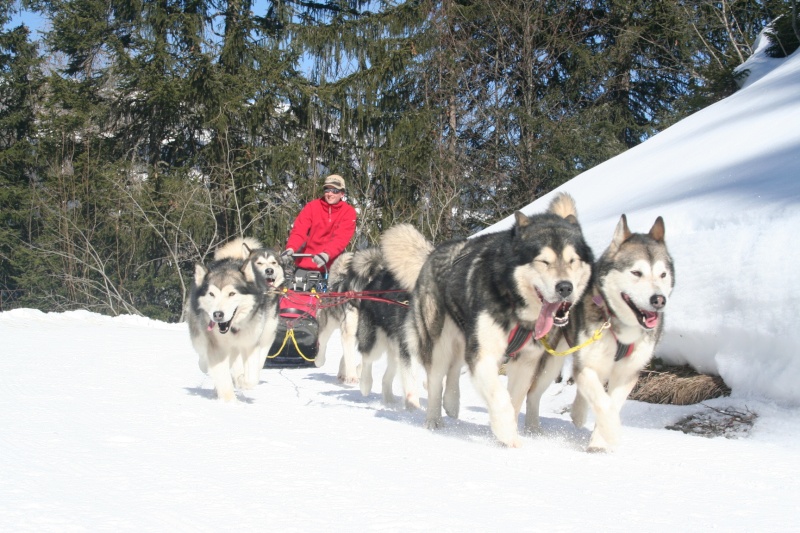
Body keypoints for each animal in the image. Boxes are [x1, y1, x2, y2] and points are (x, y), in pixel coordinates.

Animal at [188, 239, 284, 402]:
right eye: (211, 294)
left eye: (232, 294)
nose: (217, 314)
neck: (233, 328)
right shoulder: (217, 346)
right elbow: (223, 375)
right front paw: (230, 402)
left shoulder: (253, 342)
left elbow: (252, 376)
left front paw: (242, 381)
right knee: (204, 358)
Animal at [524, 214, 676, 450]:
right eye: (636, 272)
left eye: (662, 274)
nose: (659, 300)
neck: (618, 324)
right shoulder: (588, 365)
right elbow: (604, 403)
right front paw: (611, 433)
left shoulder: (627, 373)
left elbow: (610, 402)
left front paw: (599, 441)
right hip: (553, 360)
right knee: (533, 393)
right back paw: (533, 430)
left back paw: (578, 413)